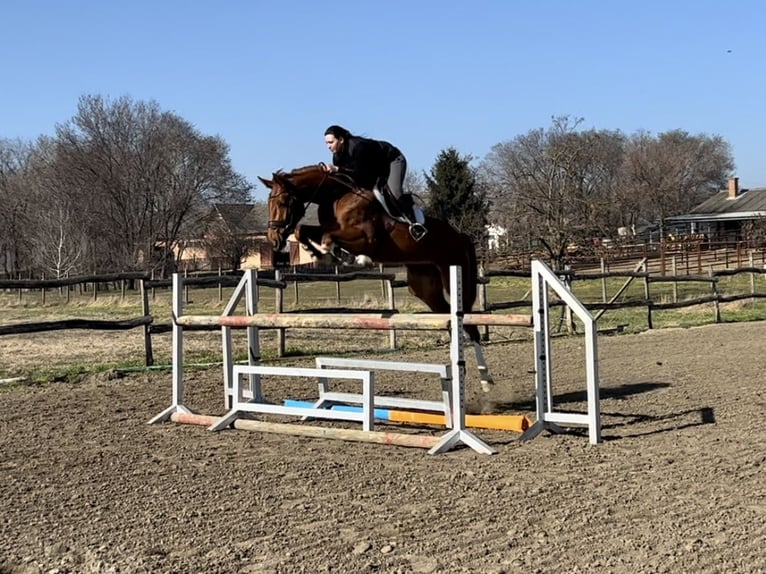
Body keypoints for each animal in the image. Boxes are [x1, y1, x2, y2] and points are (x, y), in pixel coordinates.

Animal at [258, 163, 495, 391]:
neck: (335, 197)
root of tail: (460, 235)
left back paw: (485, 378)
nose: (274, 240)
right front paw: (319, 252)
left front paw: (349, 257)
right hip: (424, 286)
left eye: (284, 202)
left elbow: (328, 237)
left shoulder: (365, 238)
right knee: (451, 319)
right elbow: (303, 230)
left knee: (469, 324)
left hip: (452, 273)